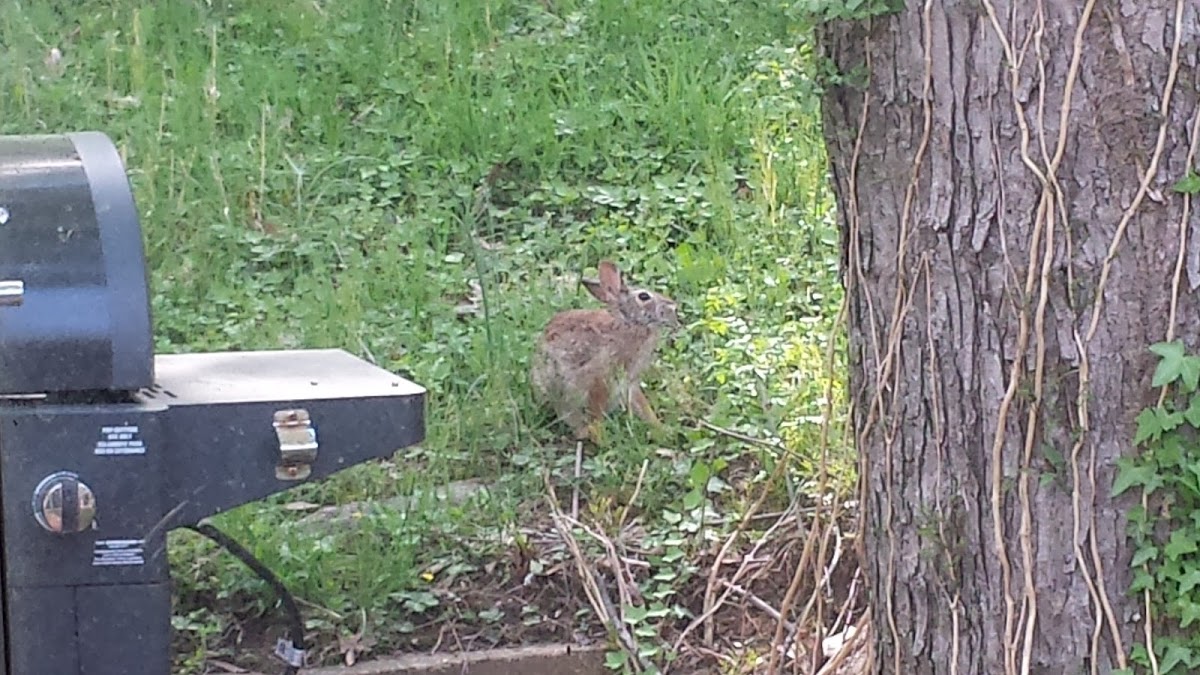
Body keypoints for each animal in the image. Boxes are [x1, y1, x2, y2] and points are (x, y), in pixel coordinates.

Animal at [530, 258, 681, 441]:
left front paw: (662, 430)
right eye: (644, 296)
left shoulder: (629, 383)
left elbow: (642, 406)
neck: (629, 323)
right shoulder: (599, 380)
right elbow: (596, 416)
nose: (673, 306)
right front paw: (603, 440)